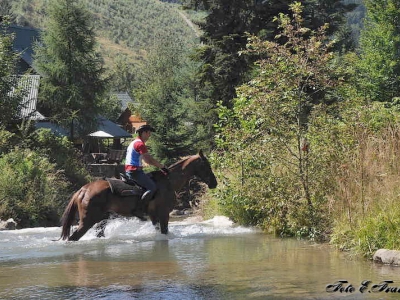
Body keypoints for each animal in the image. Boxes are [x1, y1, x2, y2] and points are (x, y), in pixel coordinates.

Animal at [58, 150, 219, 241]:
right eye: (207, 166)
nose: (214, 183)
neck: (169, 182)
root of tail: (83, 190)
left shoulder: (154, 216)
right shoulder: (164, 214)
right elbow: (164, 231)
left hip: (102, 219)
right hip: (88, 220)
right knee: (73, 238)